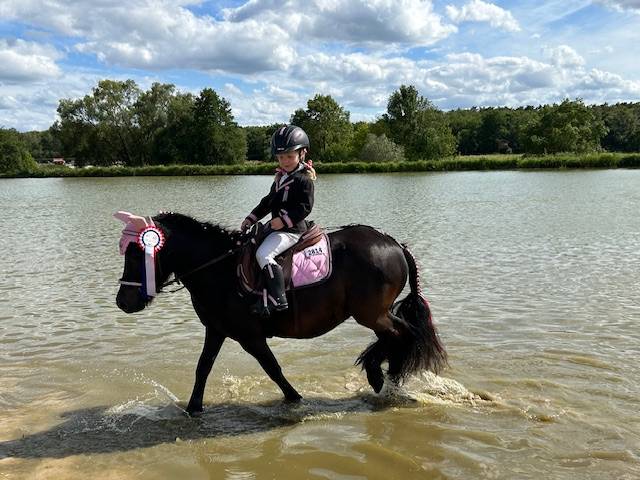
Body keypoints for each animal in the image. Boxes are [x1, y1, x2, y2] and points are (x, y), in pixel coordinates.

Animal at [115, 212, 447, 416]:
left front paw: (295, 399)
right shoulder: (217, 330)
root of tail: (393, 243)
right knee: (394, 336)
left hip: (371, 314)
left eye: (138, 254)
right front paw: (194, 408)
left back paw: (384, 379)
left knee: (403, 333)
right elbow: (203, 367)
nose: (122, 302)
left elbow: (272, 368)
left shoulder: (250, 336)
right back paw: (384, 378)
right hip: (375, 315)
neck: (219, 269)